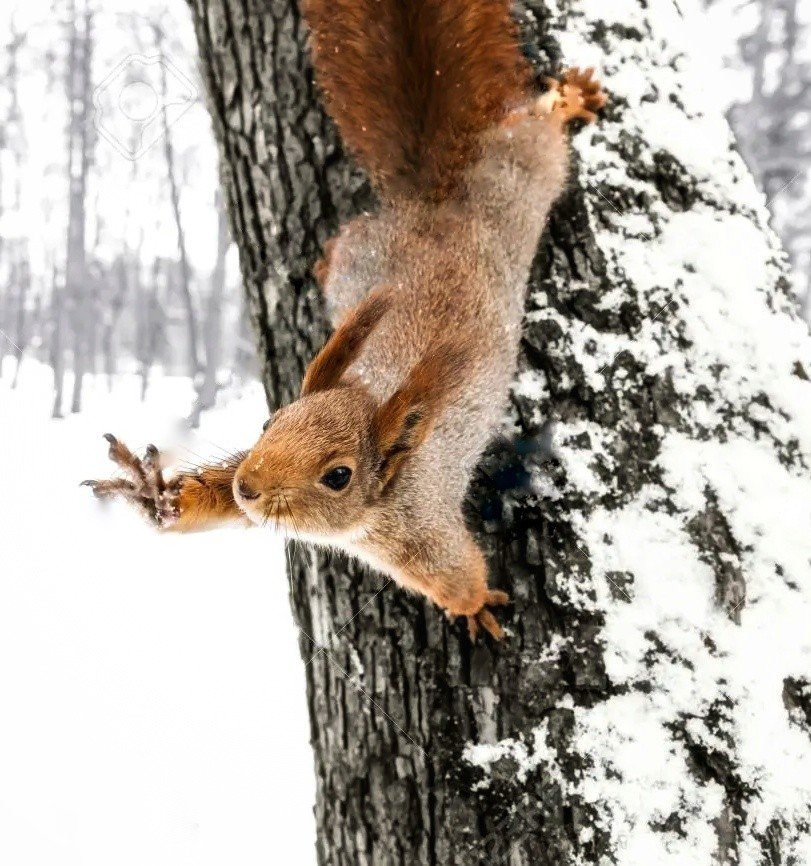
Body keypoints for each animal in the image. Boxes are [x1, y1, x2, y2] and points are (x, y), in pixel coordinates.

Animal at [84, 0, 604, 636]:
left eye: (338, 476)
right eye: (269, 423)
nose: (250, 485)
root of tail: (433, 205)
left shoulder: (424, 529)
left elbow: (455, 573)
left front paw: (475, 605)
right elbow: (215, 502)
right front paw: (157, 496)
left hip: (519, 181)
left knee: (537, 134)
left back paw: (570, 99)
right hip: (368, 247)